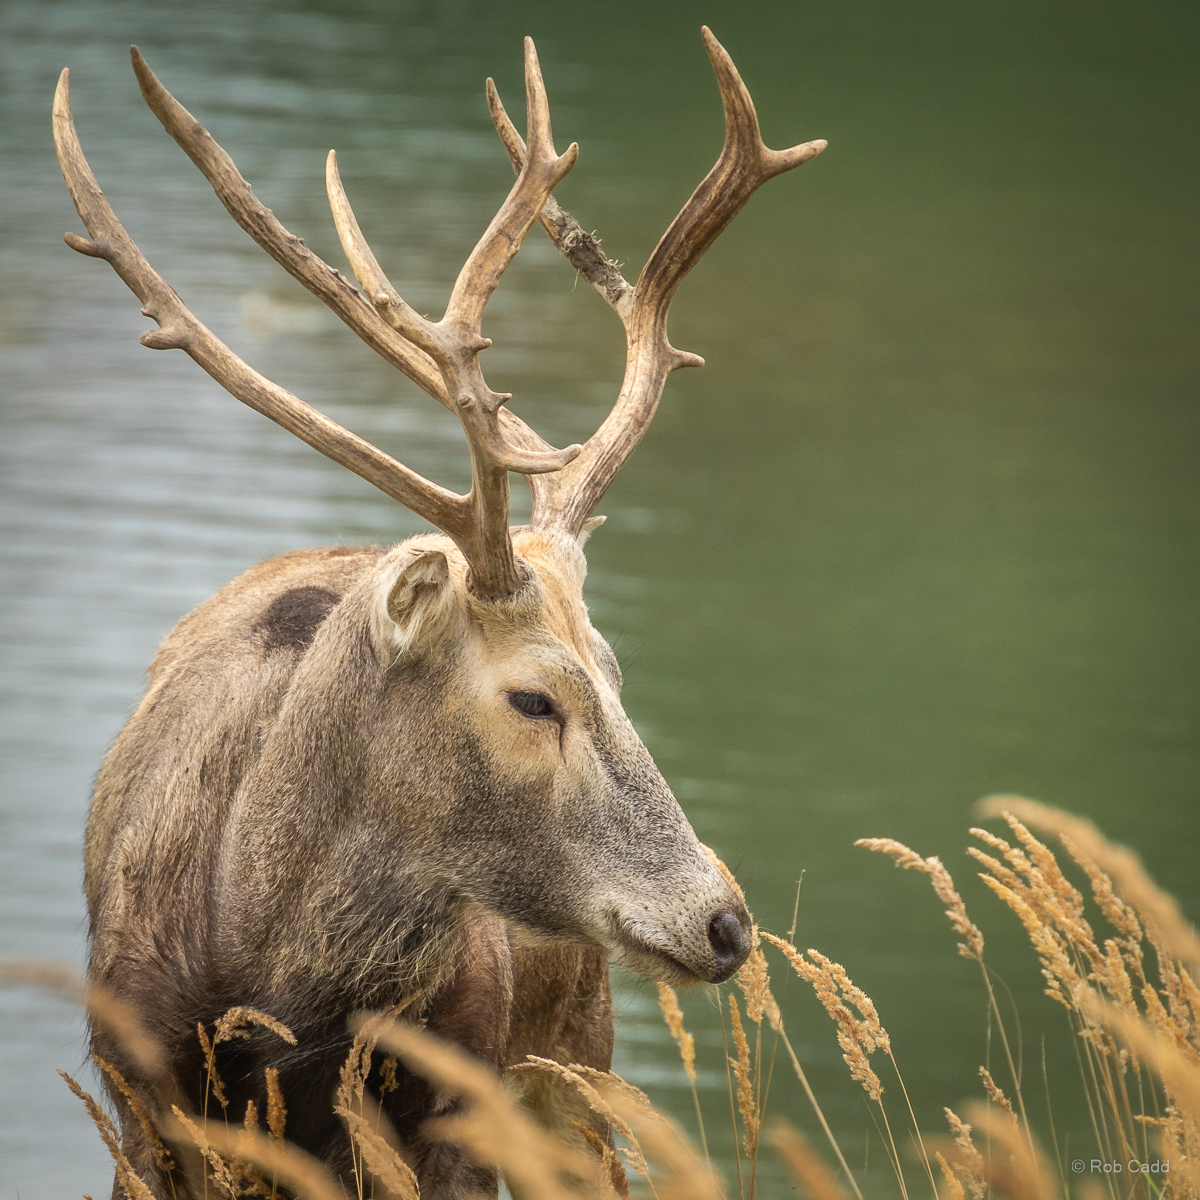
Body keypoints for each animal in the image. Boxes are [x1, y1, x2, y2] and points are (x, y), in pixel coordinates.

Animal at [53, 27, 824, 1199]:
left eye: (616, 672)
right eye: (534, 698)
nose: (724, 920)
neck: (266, 998)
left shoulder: (468, 1093)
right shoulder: (136, 1104)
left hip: (577, 1059)